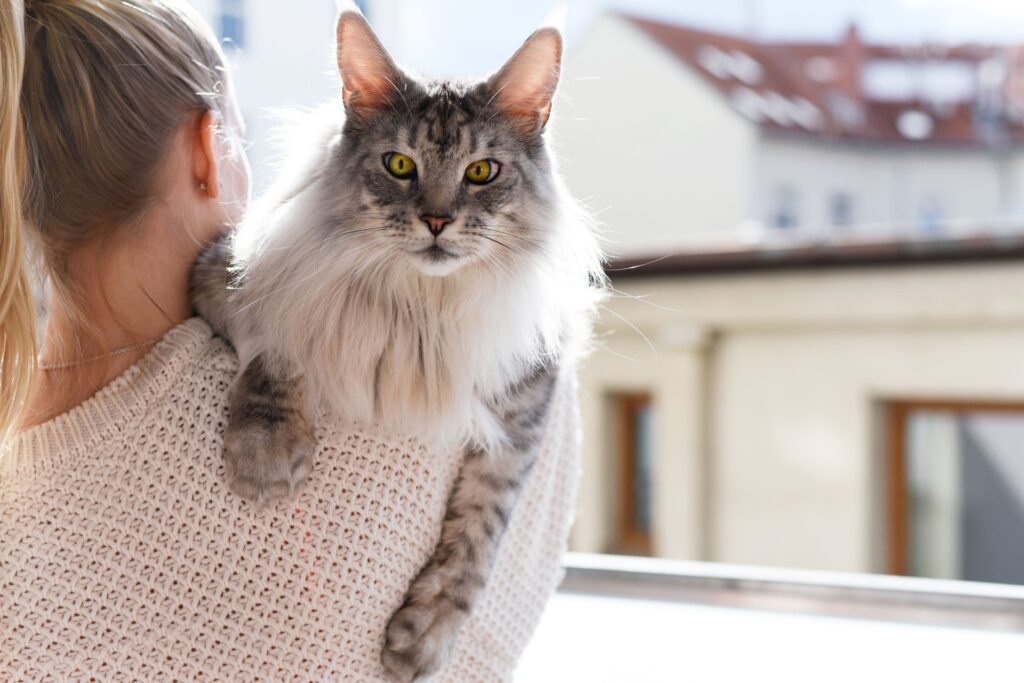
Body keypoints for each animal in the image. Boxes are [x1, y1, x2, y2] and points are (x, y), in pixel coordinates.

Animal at [192, 7, 598, 679]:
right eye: (399, 166)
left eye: (481, 172)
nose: (436, 221)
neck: (423, 306)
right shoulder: (224, 275)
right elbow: (276, 341)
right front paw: (267, 453)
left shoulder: (524, 404)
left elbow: (480, 533)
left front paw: (423, 637)